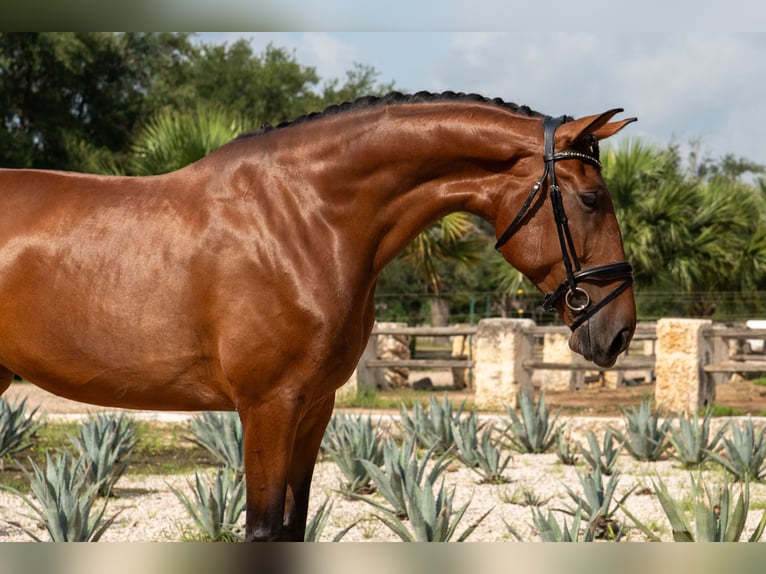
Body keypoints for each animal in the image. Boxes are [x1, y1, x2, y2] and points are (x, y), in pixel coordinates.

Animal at [0, 91, 636, 541]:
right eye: (589, 199)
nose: (620, 332)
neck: (303, 220)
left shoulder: (314, 409)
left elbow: (292, 527)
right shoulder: (268, 409)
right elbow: (262, 531)